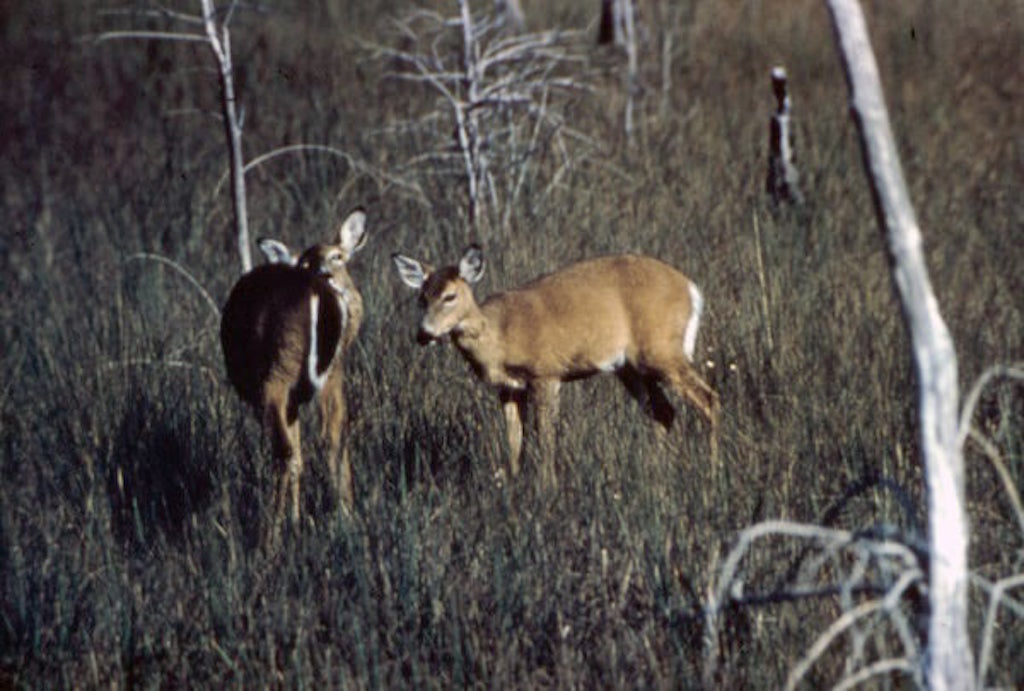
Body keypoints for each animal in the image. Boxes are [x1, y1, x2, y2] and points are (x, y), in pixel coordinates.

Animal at [220, 205, 368, 528]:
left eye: (338, 255)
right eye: (306, 260)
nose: (327, 274)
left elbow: (298, 454)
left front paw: (296, 519)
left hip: (281, 374)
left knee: (288, 451)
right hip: (308, 370)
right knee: (325, 438)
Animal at [391, 243, 720, 487]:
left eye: (450, 296)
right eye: (421, 298)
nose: (423, 334)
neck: (500, 336)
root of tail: (692, 290)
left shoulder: (546, 372)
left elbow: (545, 436)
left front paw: (547, 485)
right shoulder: (508, 388)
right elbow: (514, 438)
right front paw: (513, 483)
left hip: (662, 350)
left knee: (709, 398)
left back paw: (712, 469)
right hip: (630, 367)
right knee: (663, 411)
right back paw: (657, 470)